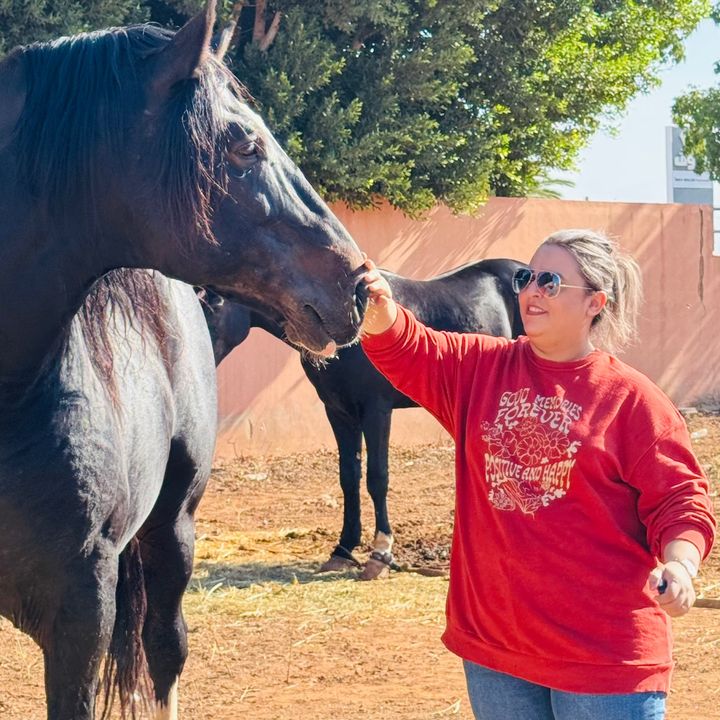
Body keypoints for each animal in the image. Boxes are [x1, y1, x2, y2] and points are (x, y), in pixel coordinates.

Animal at [200, 258, 524, 580]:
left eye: (212, 305)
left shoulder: (376, 410)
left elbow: (377, 477)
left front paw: (380, 554)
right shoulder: (339, 412)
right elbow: (349, 477)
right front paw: (343, 549)